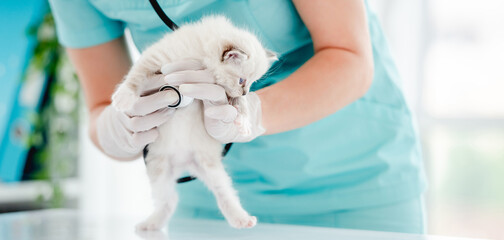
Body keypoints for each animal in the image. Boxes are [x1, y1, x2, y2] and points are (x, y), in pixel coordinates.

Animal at [110, 16, 276, 231]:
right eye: (242, 80)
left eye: (252, 83)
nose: (246, 91)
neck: (200, 55)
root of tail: (183, 164)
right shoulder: (155, 57)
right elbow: (136, 75)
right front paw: (124, 96)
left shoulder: (222, 92)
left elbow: (240, 104)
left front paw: (244, 121)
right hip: (159, 170)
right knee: (169, 199)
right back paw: (151, 224)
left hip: (209, 167)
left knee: (224, 194)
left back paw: (240, 219)